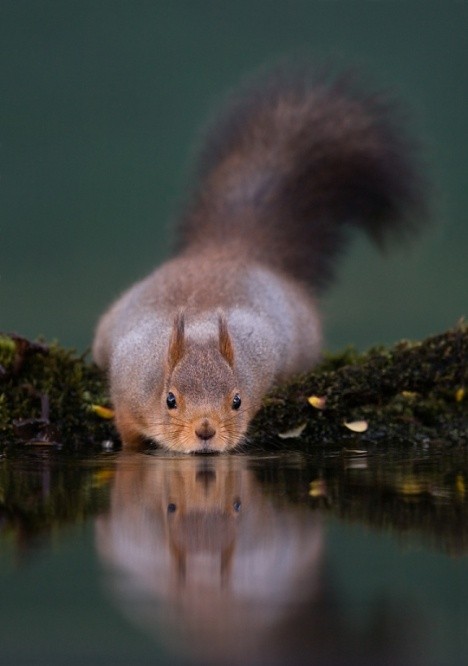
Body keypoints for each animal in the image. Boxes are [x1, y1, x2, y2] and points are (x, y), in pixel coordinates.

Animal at [91, 63, 424, 452]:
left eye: (237, 400)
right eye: (170, 400)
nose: (206, 431)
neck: (200, 330)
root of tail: (227, 249)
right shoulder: (127, 390)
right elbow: (128, 434)